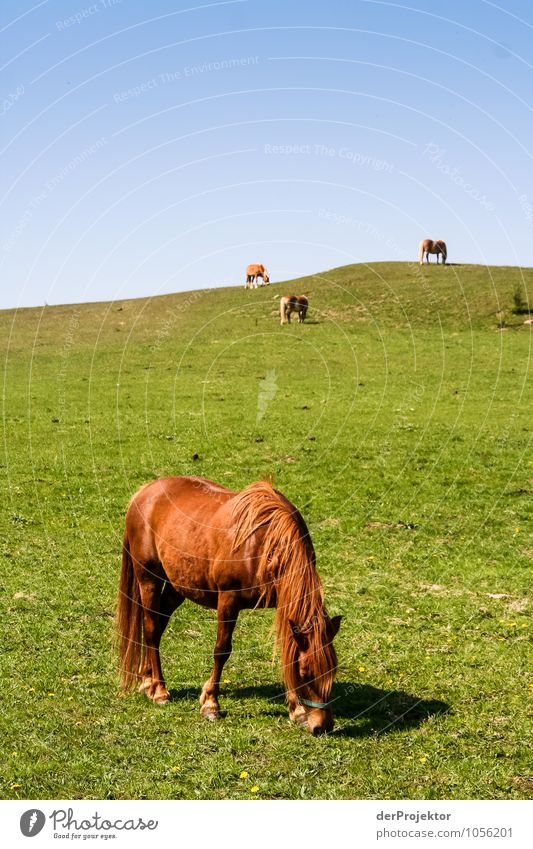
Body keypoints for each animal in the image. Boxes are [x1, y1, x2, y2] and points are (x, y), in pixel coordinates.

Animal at [116, 476, 340, 736]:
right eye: (305, 673)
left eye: (333, 670)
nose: (322, 726)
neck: (262, 543)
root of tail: (144, 492)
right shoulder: (228, 600)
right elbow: (221, 650)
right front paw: (211, 704)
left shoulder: (284, 605)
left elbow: (287, 651)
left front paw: (297, 710)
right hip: (148, 578)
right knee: (151, 629)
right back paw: (159, 690)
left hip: (176, 586)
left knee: (158, 626)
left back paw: (147, 680)